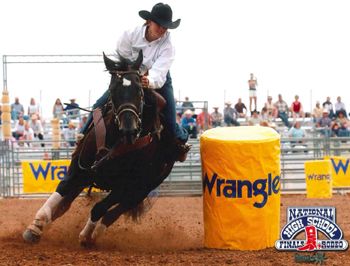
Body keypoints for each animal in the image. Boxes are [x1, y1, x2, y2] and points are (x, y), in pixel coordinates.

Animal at [22, 50, 180, 245]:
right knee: (67, 203)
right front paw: (36, 226)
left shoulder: (126, 186)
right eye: (112, 90)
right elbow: (62, 189)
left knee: (115, 211)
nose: (129, 129)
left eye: (139, 90)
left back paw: (96, 233)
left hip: (142, 189)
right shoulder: (80, 169)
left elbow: (99, 207)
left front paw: (85, 236)